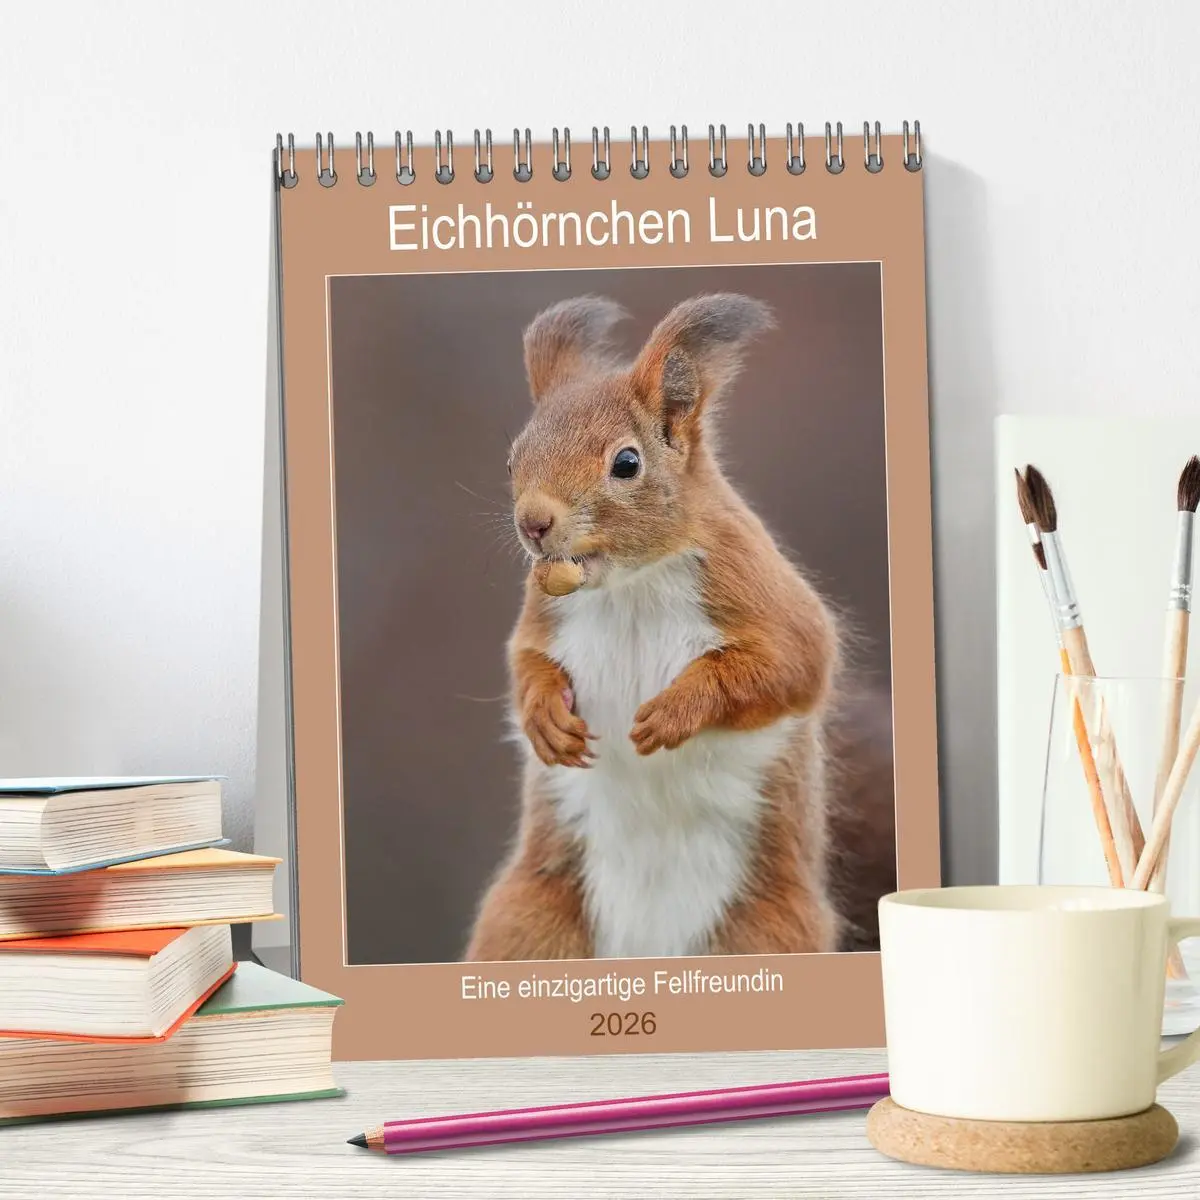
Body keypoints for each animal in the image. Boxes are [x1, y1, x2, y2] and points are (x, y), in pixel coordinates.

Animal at [464, 293, 896, 962]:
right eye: (513, 459)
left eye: (626, 463)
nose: (533, 524)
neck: (629, 585)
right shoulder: (545, 609)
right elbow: (525, 660)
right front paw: (545, 717)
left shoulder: (758, 591)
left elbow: (792, 664)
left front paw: (674, 711)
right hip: (530, 926)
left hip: (761, 936)